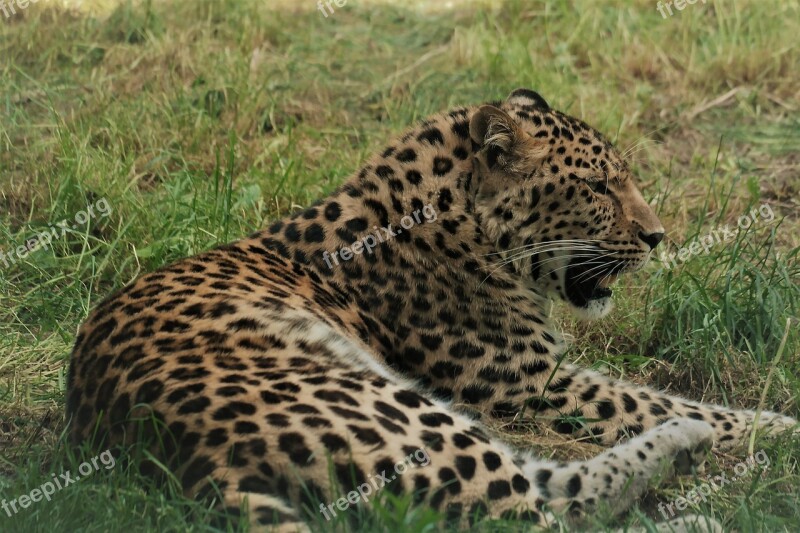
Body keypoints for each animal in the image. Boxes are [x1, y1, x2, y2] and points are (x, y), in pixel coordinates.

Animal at [65, 89, 796, 528]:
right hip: (397, 410)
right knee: (537, 513)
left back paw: (683, 449)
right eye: (596, 186)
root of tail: (169, 454)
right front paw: (777, 426)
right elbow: (648, 396)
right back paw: (697, 500)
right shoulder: (528, 386)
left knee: (546, 488)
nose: (658, 237)